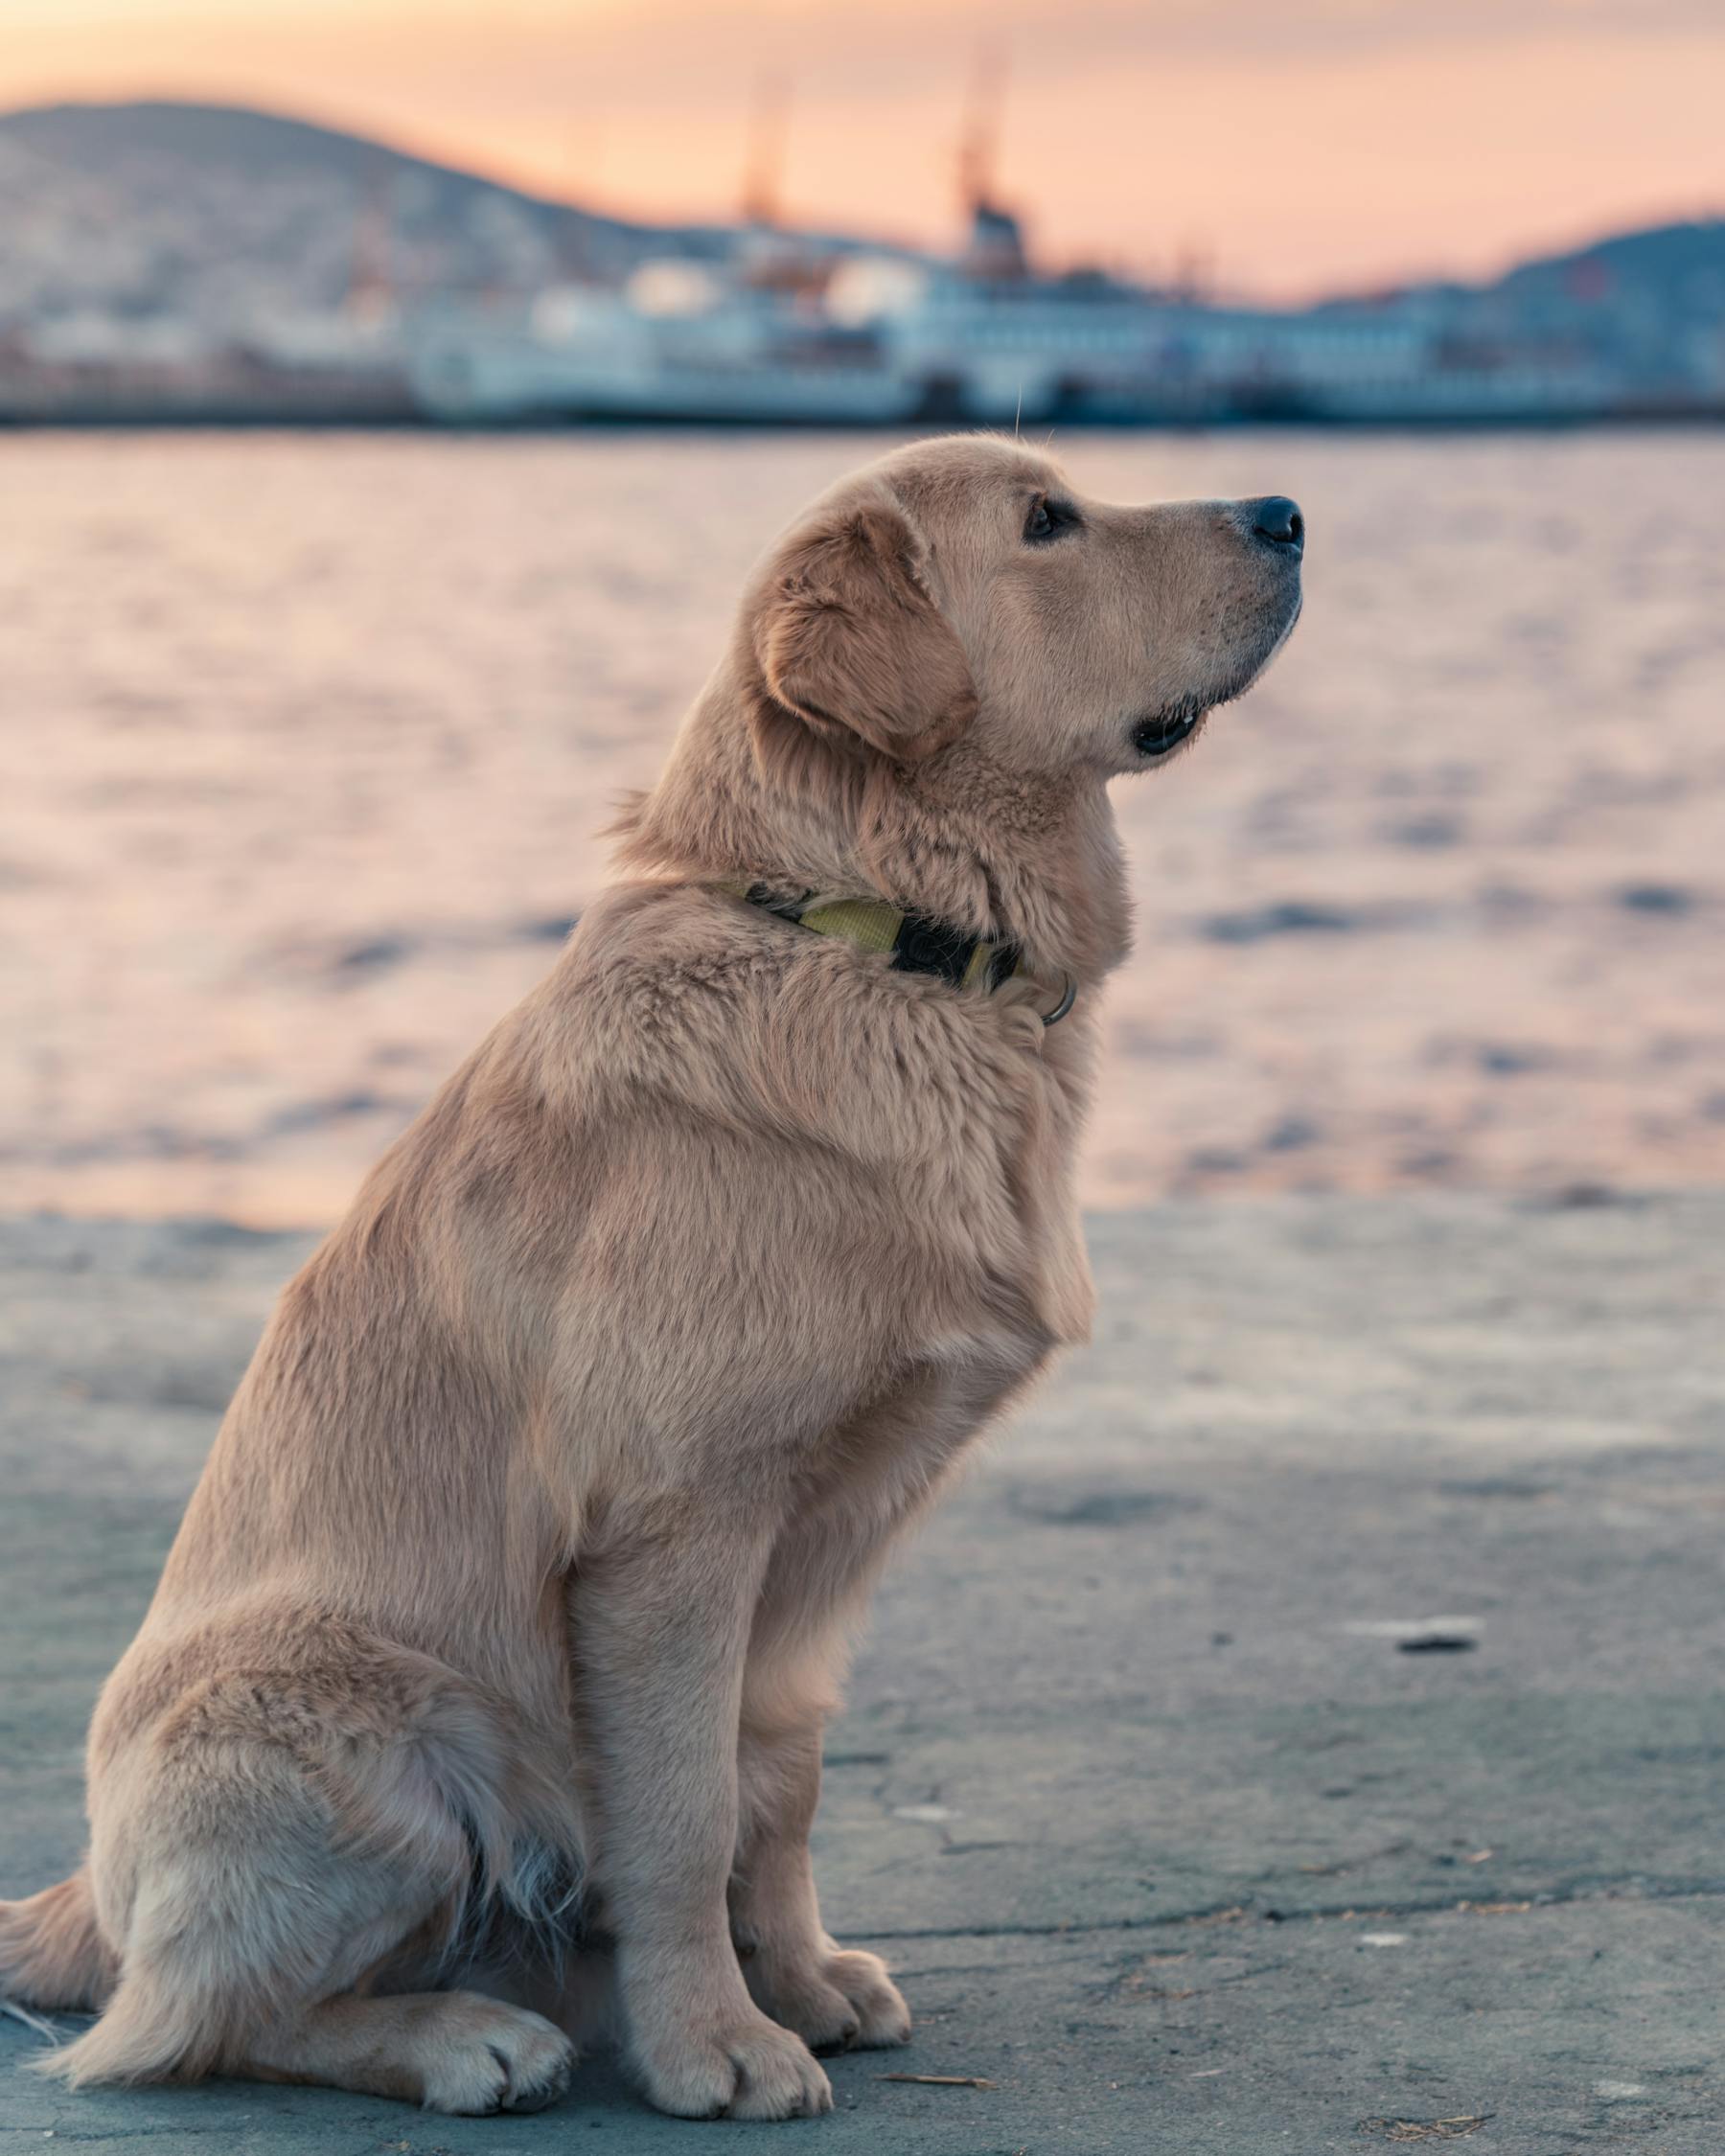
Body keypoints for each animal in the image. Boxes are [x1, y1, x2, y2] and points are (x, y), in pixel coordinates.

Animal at [0, 433, 1294, 2122]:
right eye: (1047, 523)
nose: (1288, 513)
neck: (877, 938)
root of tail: (86, 1893)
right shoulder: (678, 1523)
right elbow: (683, 1813)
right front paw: (714, 2045)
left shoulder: (820, 1554)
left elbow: (777, 1784)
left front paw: (796, 1981)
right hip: (365, 1732)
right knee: (193, 2021)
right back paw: (469, 2034)